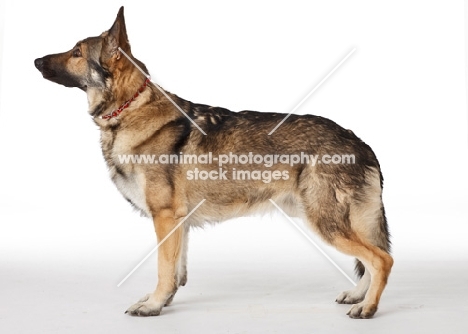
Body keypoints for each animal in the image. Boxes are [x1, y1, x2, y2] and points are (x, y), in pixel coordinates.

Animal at [34, 5, 392, 318]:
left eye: (77, 52)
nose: (36, 60)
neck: (131, 108)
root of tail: (361, 143)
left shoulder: (165, 219)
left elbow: (164, 269)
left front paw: (153, 306)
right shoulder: (178, 224)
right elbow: (176, 273)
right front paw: (161, 301)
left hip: (325, 223)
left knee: (381, 260)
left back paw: (367, 308)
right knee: (373, 259)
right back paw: (358, 296)